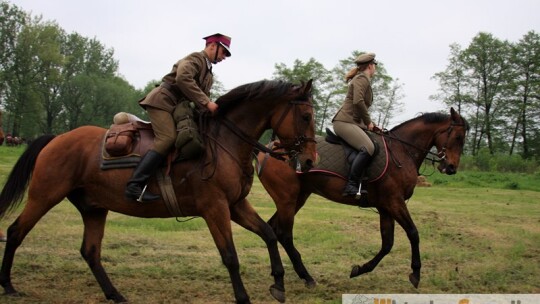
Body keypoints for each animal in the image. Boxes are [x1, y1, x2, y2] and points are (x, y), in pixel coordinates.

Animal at [0, 79, 318, 302]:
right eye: (305, 116)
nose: (310, 160)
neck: (224, 142)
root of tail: (58, 138)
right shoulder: (215, 209)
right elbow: (230, 256)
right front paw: (243, 298)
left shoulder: (236, 205)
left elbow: (268, 233)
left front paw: (278, 282)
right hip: (44, 196)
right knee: (15, 232)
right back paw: (8, 285)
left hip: (94, 208)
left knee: (90, 251)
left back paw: (115, 294)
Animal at [258, 107, 468, 290]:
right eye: (458, 137)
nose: (451, 168)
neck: (402, 150)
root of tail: (269, 150)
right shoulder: (395, 202)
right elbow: (413, 233)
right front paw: (415, 274)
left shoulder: (385, 207)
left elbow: (387, 244)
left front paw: (360, 269)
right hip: (287, 199)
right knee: (284, 233)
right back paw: (306, 277)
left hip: (297, 198)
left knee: (274, 228)